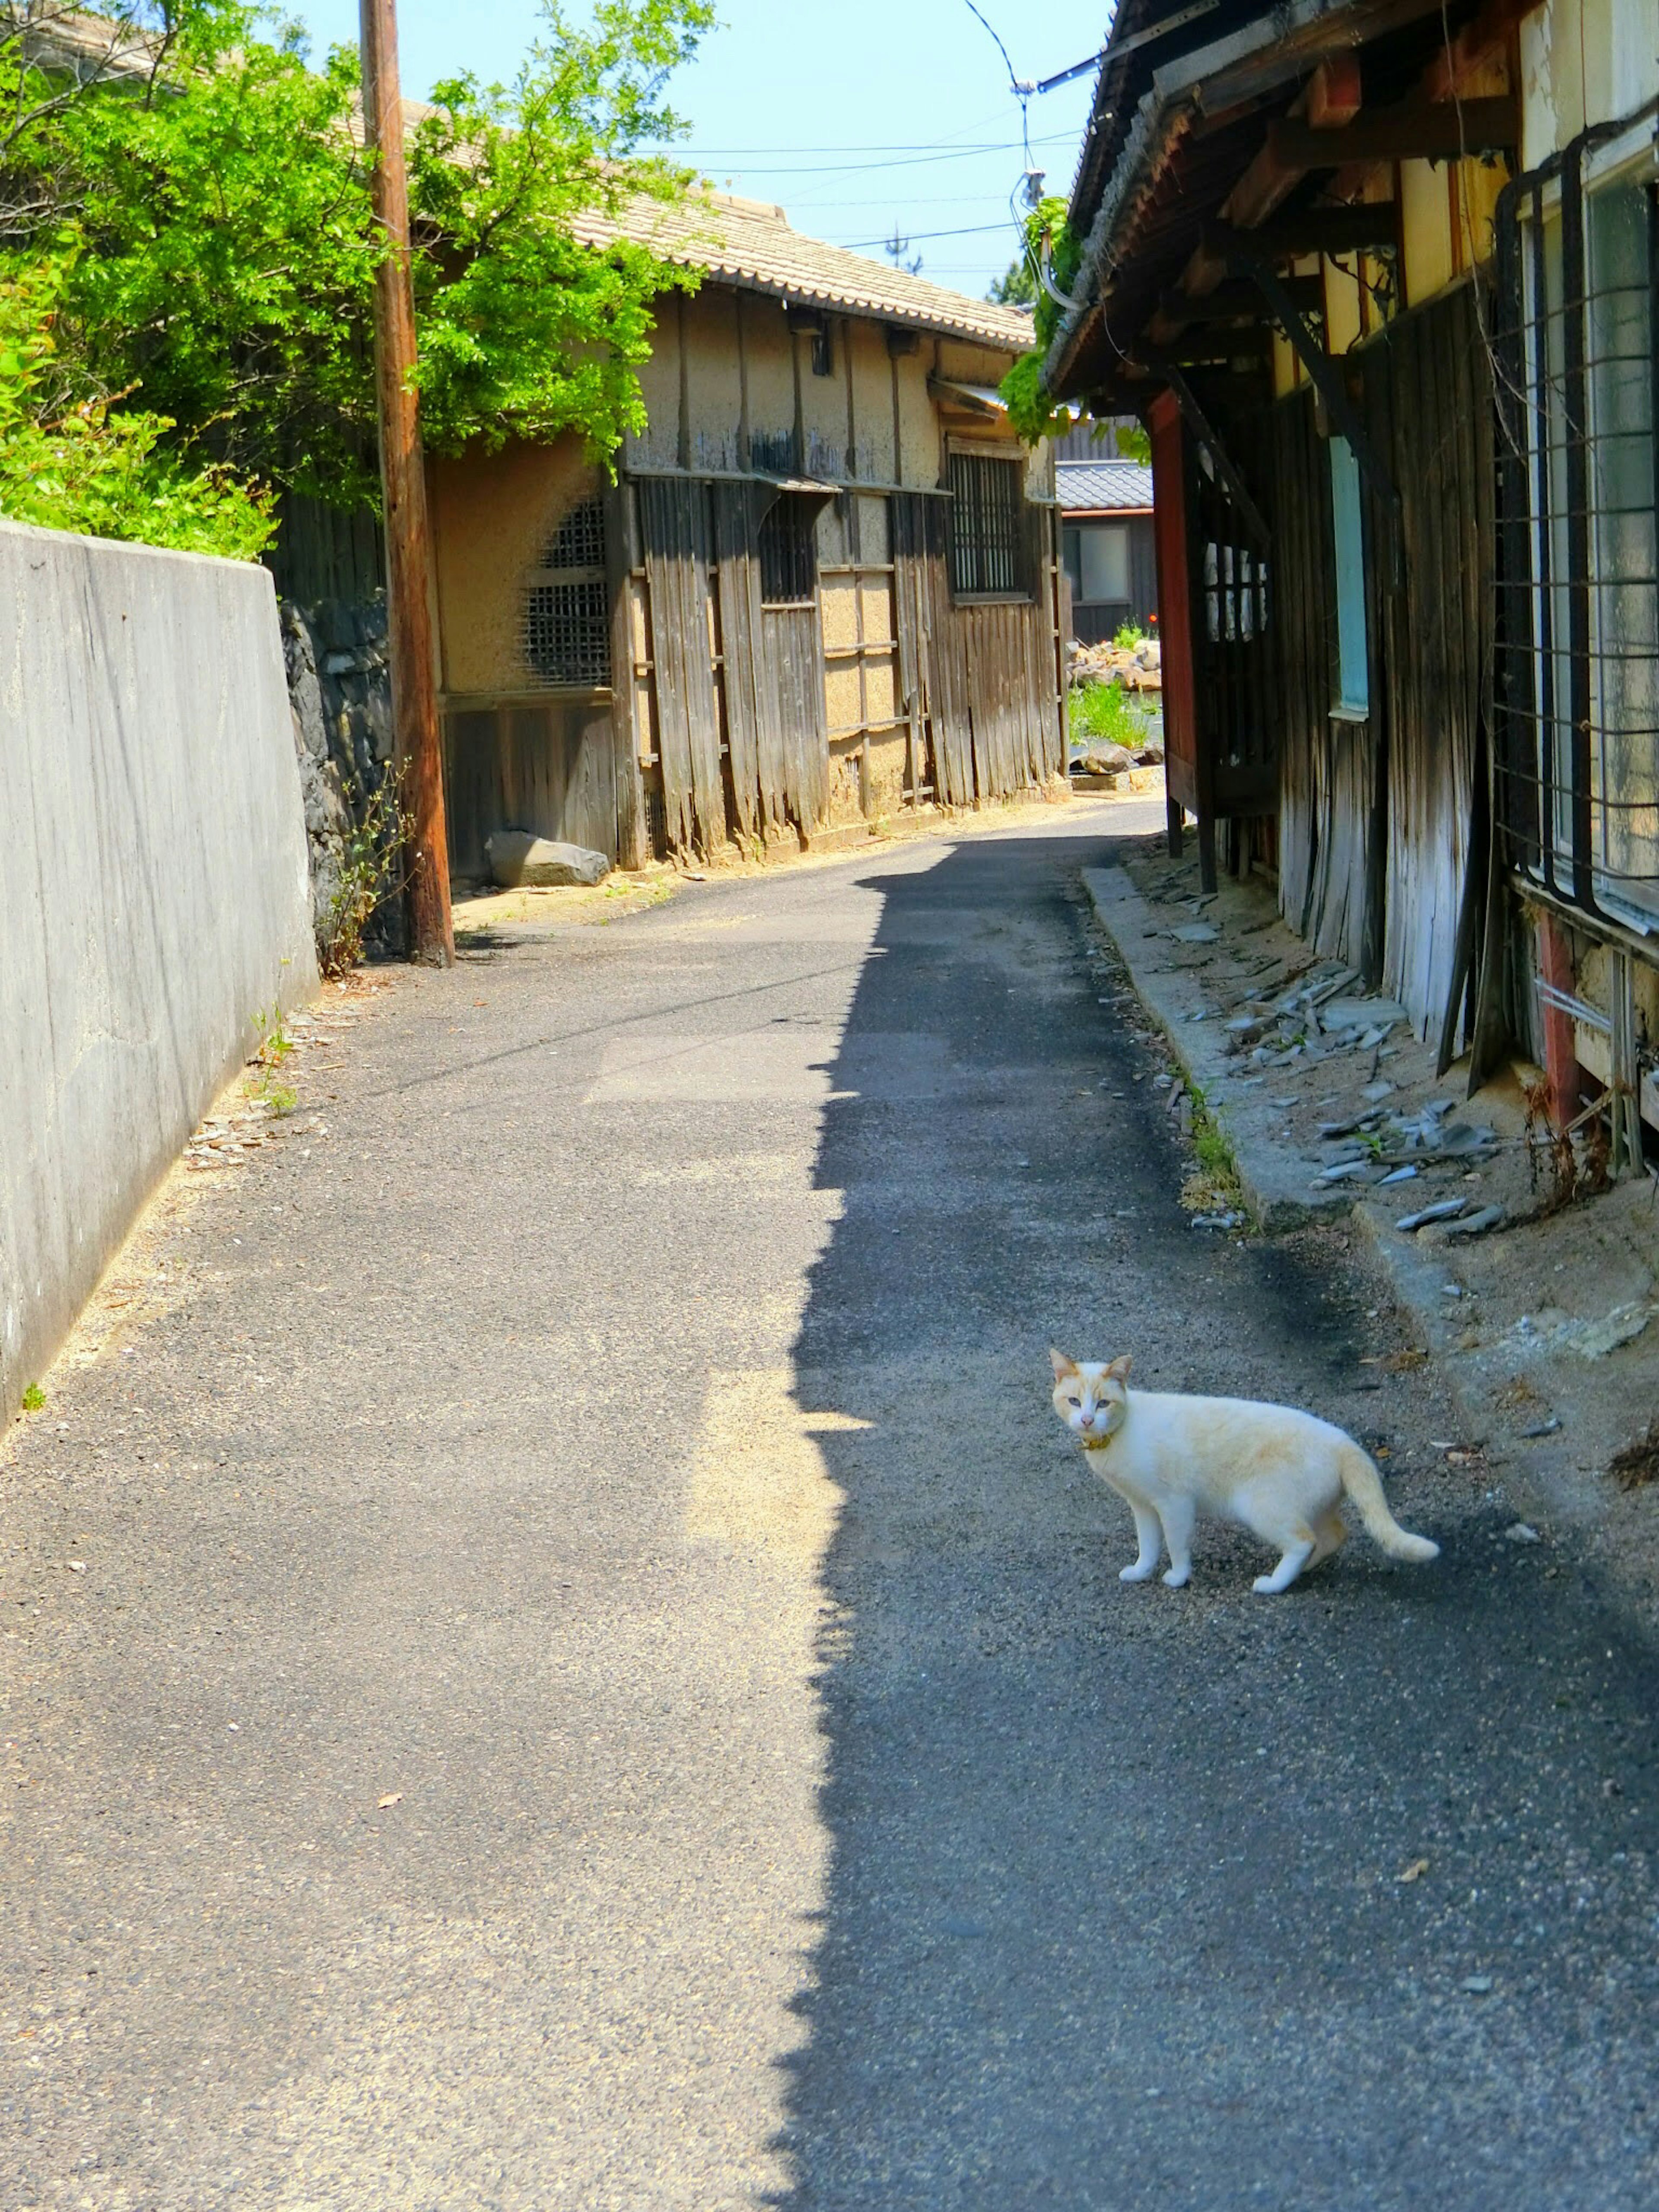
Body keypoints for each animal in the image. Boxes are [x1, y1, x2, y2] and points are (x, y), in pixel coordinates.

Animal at [1053, 1344, 1442, 1592]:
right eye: (1074, 1401)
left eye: (1104, 1403)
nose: (1087, 1420)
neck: (1114, 1440)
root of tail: (1344, 1440)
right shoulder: (1143, 1505)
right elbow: (1148, 1545)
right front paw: (1141, 1572)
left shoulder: (1174, 1503)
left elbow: (1176, 1545)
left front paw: (1178, 1578)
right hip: (1309, 1507)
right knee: (1332, 1535)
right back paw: (1305, 1570)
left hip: (1259, 1506)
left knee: (1303, 1541)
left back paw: (1274, 1584)